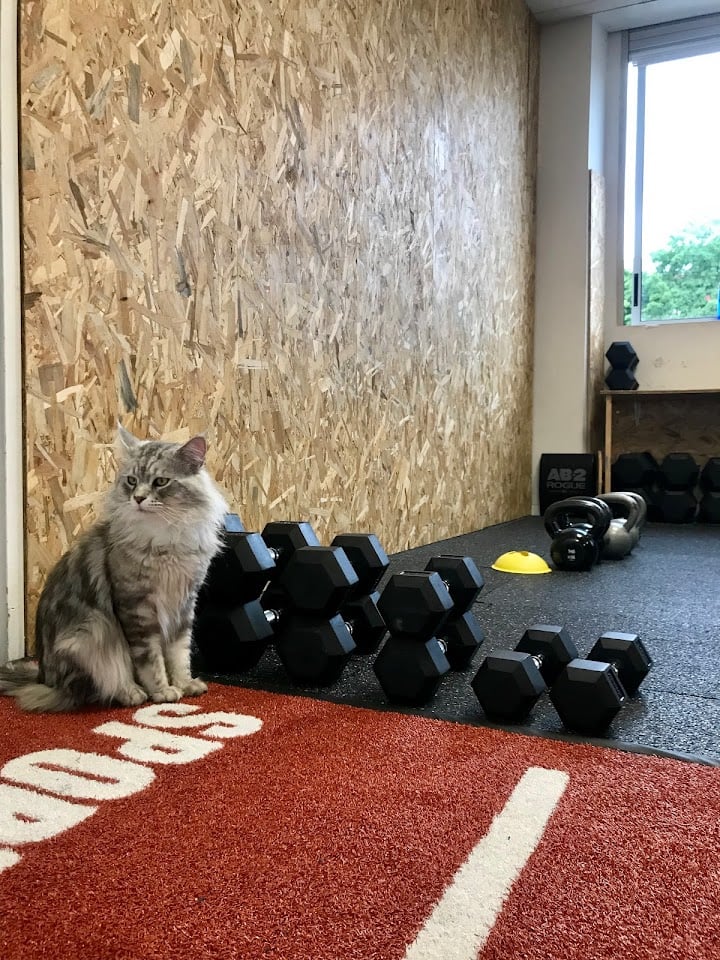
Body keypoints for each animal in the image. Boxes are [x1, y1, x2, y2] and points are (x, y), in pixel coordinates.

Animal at [0, 428, 228, 712]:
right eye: (131, 480)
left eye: (161, 482)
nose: (138, 498)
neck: (166, 539)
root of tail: (42, 677)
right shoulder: (137, 608)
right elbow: (150, 659)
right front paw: (163, 691)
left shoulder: (184, 603)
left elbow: (179, 653)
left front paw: (185, 685)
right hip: (91, 633)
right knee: (94, 688)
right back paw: (131, 692)